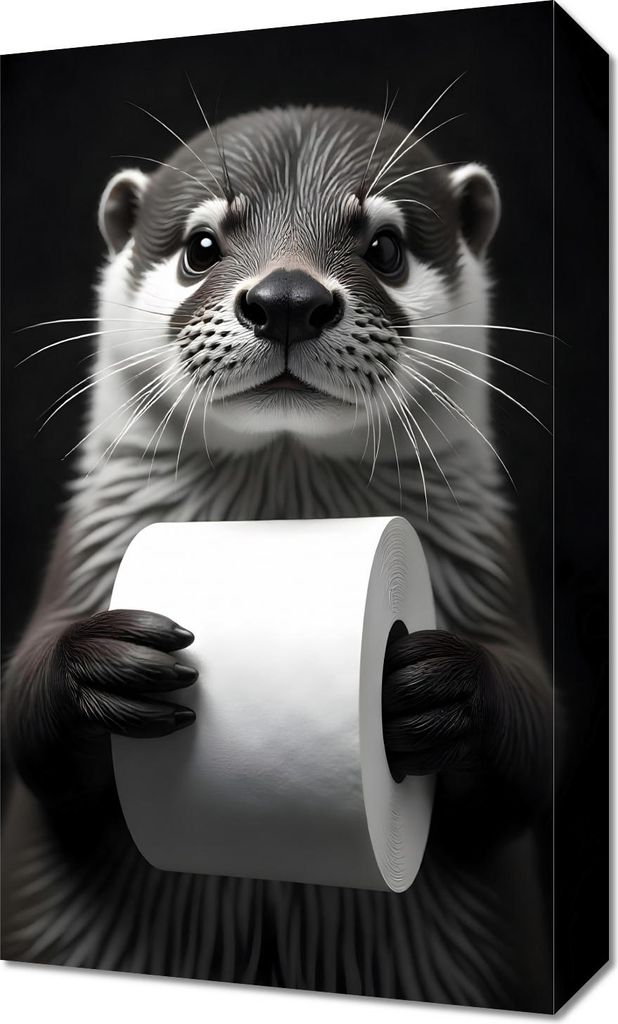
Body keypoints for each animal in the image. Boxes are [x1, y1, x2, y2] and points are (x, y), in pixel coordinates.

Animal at [2, 101, 552, 1009]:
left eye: (385, 246)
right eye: (201, 245)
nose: (287, 298)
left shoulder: (493, 584)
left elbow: (534, 750)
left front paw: (433, 688)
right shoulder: (78, 569)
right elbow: (23, 724)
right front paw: (101, 666)